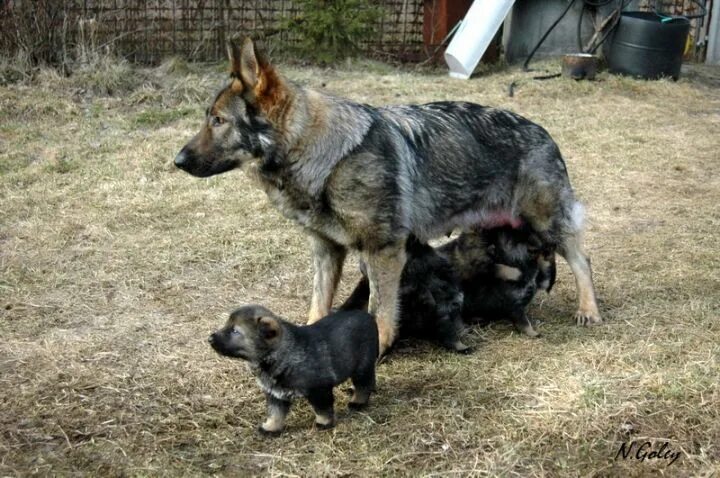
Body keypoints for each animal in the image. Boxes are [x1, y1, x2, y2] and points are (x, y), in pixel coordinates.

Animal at [208, 304, 376, 436]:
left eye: (235, 331)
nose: (210, 339)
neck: (281, 354)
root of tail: (366, 315)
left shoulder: (319, 390)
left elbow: (323, 408)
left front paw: (324, 423)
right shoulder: (275, 394)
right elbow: (275, 413)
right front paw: (271, 428)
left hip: (362, 366)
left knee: (364, 385)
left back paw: (357, 402)